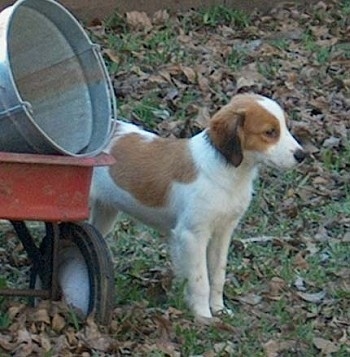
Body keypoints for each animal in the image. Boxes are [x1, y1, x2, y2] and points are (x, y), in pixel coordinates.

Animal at [89, 92, 304, 318]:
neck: (228, 172)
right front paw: (203, 316)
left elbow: (217, 275)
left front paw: (219, 310)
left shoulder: (222, 233)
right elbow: (200, 281)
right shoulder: (193, 235)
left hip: (105, 214)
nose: (302, 155)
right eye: (270, 132)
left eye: (285, 127)